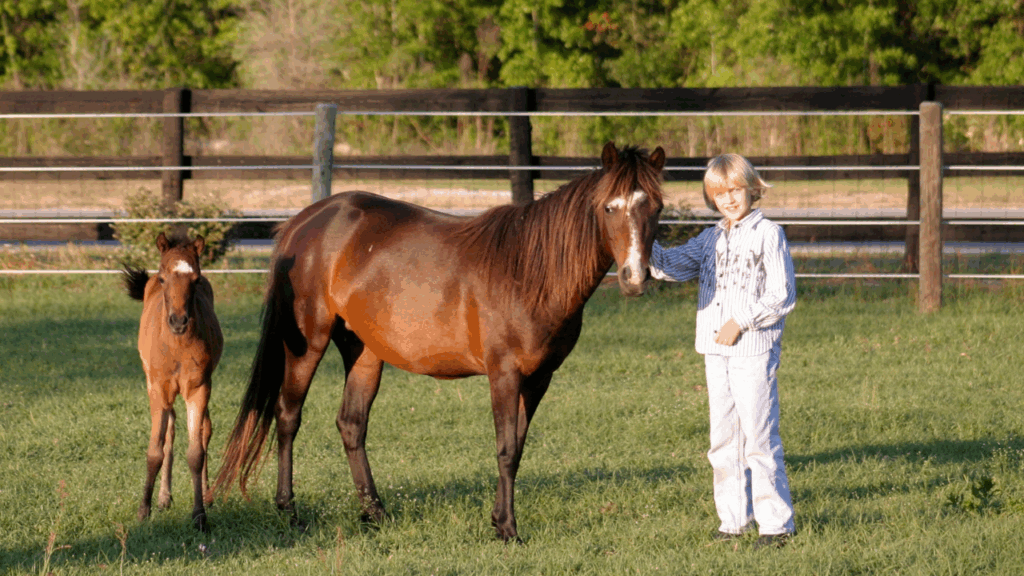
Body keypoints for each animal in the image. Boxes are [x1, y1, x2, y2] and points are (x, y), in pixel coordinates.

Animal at [122, 232, 224, 532]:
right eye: (163, 278)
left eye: (196, 279)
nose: (179, 322)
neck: (177, 344)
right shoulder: (159, 390)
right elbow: (155, 450)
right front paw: (143, 510)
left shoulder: (199, 389)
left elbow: (196, 452)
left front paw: (200, 514)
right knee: (169, 430)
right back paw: (163, 498)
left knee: (204, 429)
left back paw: (206, 493)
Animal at [214, 141, 666, 541]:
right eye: (609, 207)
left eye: (656, 209)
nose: (635, 278)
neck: (528, 272)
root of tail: (304, 221)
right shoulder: (504, 373)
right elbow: (505, 448)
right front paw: (508, 530)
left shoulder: (540, 378)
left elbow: (517, 448)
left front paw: (498, 520)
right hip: (308, 340)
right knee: (287, 416)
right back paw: (289, 512)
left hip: (364, 350)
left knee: (351, 424)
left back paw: (375, 513)